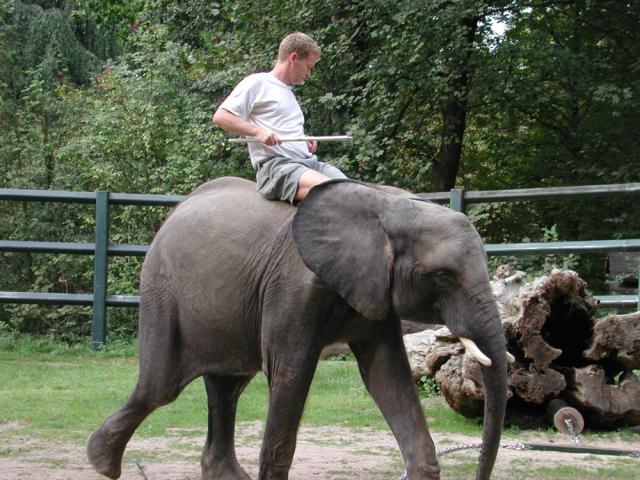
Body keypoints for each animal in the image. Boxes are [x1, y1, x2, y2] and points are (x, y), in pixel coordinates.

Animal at [87, 177, 510, 480]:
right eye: (443, 276)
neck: (386, 207)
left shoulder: (373, 289)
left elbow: (386, 375)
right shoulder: (293, 288)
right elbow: (290, 373)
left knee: (226, 387)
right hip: (163, 290)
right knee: (161, 387)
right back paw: (101, 463)